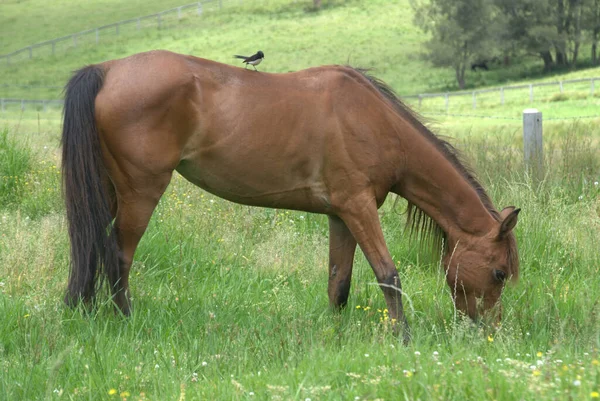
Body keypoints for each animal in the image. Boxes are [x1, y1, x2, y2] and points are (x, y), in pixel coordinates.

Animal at [62, 48, 520, 340]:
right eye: (499, 272)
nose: (489, 333)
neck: (372, 119)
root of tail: (107, 69)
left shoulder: (342, 215)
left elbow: (339, 284)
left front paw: (335, 336)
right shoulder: (359, 208)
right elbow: (389, 275)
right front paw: (403, 338)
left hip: (108, 190)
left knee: (94, 249)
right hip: (140, 192)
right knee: (118, 255)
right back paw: (125, 320)